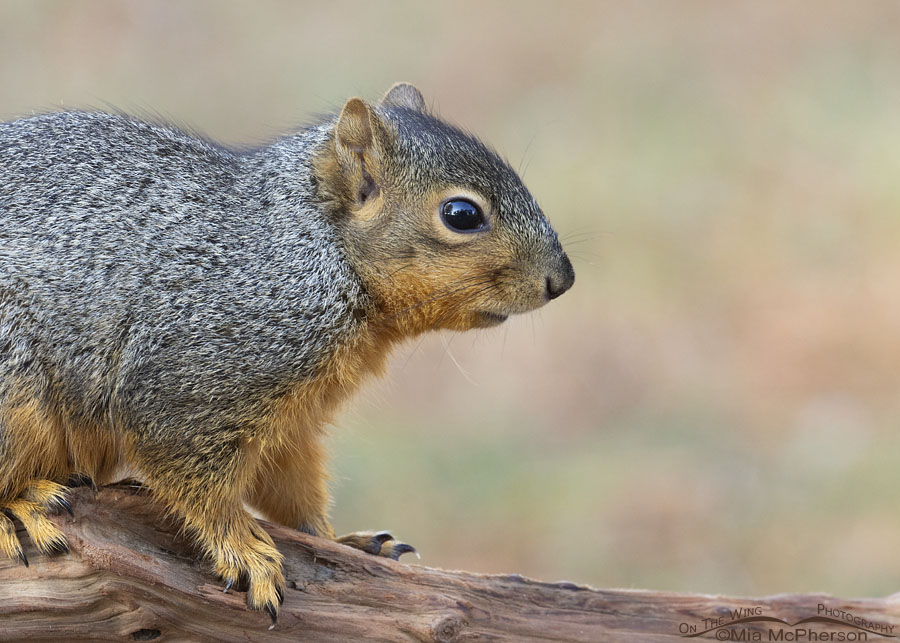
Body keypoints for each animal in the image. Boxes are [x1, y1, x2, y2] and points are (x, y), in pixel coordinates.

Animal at [0, 83, 572, 628]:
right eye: (462, 214)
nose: (562, 280)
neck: (315, 252)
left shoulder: (293, 418)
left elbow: (290, 484)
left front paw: (339, 541)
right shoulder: (196, 380)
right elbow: (196, 483)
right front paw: (243, 549)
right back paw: (18, 507)